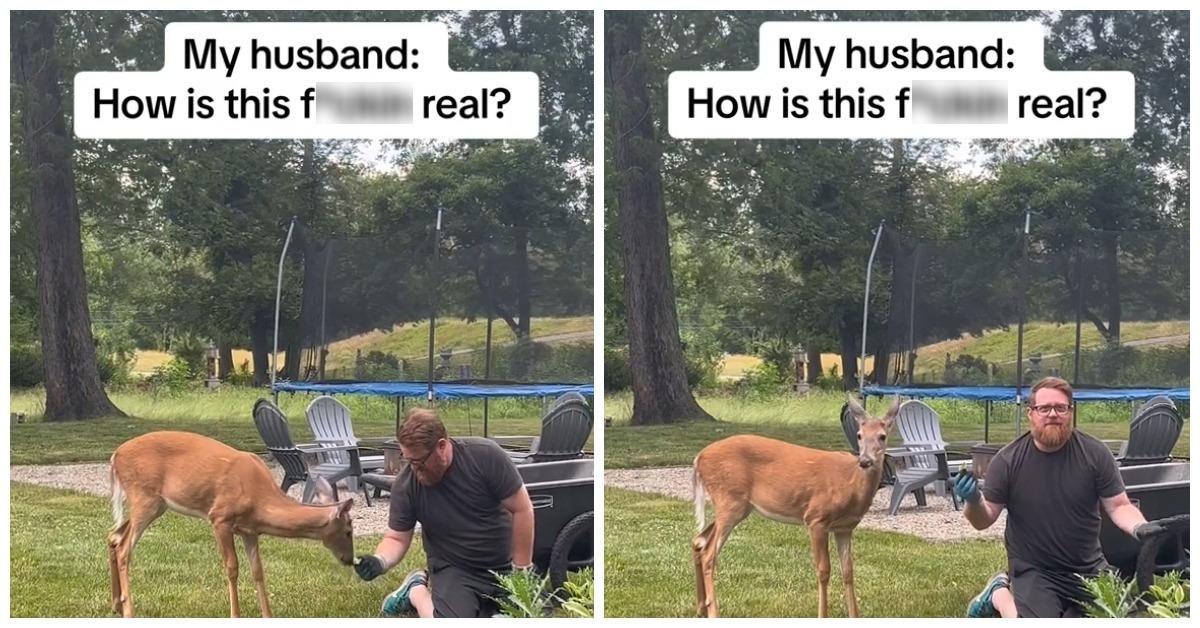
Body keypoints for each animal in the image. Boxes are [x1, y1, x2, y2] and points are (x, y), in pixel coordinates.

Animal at [107, 431, 356, 618]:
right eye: (348, 530)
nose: (349, 559)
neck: (259, 498)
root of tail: (115, 455)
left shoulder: (250, 530)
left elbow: (258, 570)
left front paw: (268, 615)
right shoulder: (220, 518)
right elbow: (232, 567)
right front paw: (235, 615)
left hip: (156, 504)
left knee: (113, 536)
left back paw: (116, 605)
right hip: (143, 497)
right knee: (124, 548)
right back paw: (129, 611)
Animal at [691, 394, 899, 618]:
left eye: (882, 436)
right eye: (859, 435)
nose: (865, 461)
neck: (851, 484)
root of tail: (698, 458)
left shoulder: (844, 527)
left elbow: (848, 572)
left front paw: (854, 616)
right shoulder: (816, 518)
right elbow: (824, 570)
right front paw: (822, 615)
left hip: (737, 505)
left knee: (699, 540)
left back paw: (701, 608)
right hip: (729, 500)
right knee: (709, 553)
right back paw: (713, 612)